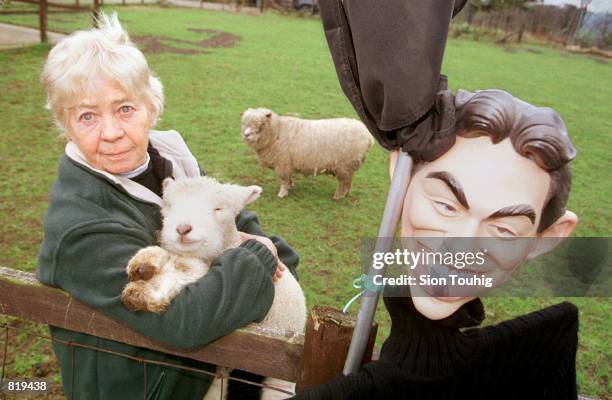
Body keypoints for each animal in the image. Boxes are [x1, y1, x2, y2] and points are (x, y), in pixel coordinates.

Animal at [120, 177, 306, 400]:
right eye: (169, 205)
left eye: (218, 209)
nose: (183, 228)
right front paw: (145, 261)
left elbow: (186, 269)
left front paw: (146, 292)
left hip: (281, 365)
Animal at [239, 108, 372, 200]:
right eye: (244, 123)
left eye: (261, 124)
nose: (246, 135)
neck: (277, 132)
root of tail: (369, 136)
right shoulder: (288, 163)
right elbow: (288, 178)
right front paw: (291, 186)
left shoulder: (283, 163)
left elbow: (284, 180)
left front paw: (282, 194)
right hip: (348, 166)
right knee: (348, 182)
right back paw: (345, 194)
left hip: (345, 165)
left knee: (344, 183)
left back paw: (338, 196)